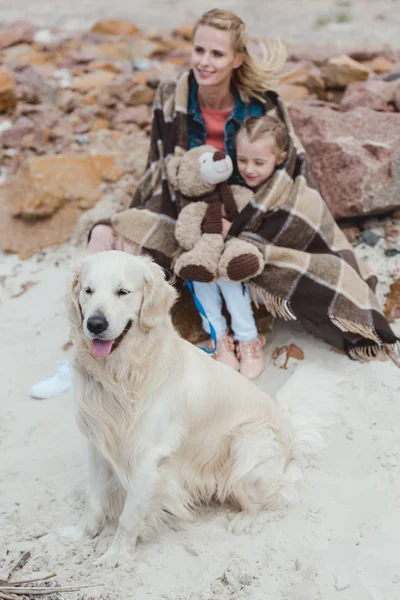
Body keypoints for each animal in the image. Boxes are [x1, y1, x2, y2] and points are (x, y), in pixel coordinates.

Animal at [61, 250, 332, 568]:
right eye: (88, 291)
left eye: (122, 292)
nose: (95, 324)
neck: (121, 374)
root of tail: (290, 433)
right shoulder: (97, 444)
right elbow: (93, 497)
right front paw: (80, 533)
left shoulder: (147, 458)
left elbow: (129, 517)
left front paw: (115, 556)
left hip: (245, 447)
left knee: (281, 494)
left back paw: (244, 520)